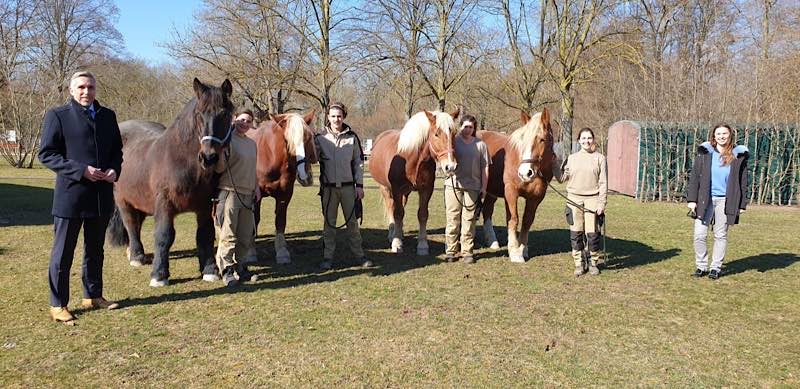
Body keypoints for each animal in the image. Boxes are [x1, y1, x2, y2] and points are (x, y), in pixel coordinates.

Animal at [106, 78, 233, 284]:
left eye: (224, 114)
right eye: (199, 114)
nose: (208, 158)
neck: (180, 161)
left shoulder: (205, 206)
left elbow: (205, 235)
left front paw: (209, 270)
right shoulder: (164, 203)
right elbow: (164, 236)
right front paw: (159, 275)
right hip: (123, 200)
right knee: (130, 223)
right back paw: (136, 257)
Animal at [245, 110, 318, 266]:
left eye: (309, 137)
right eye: (287, 141)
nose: (306, 176)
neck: (269, 157)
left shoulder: (285, 195)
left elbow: (280, 221)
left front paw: (282, 252)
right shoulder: (254, 197)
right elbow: (254, 220)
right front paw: (251, 252)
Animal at [368, 109, 456, 255]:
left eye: (454, 133)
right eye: (436, 134)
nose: (451, 166)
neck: (411, 158)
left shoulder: (426, 189)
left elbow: (422, 214)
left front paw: (422, 245)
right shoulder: (396, 189)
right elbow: (397, 213)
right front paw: (397, 244)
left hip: (405, 192)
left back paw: (400, 233)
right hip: (385, 188)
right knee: (391, 208)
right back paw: (393, 234)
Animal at [476, 107, 556, 262]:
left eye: (542, 139)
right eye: (522, 140)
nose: (525, 173)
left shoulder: (536, 197)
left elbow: (527, 221)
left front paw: (523, 249)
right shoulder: (511, 192)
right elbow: (513, 219)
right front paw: (514, 251)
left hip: (491, 191)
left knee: (487, 211)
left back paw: (492, 242)